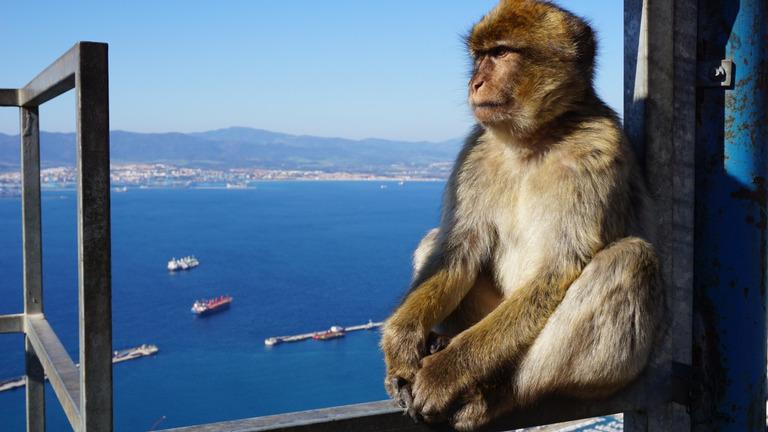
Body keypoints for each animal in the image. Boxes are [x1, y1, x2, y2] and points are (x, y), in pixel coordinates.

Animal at [380, 1, 664, 430]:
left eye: (500, 53)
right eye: (479, 56)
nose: (475, 82)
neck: (531, 142)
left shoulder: (597, 149)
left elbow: (557, 268)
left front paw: (445, 373)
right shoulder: (475, 152)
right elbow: (457, 251)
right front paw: (402, 345)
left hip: (614, 369)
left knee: (628, 260)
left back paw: (498, 392)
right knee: (435, 243)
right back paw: (440, 343)